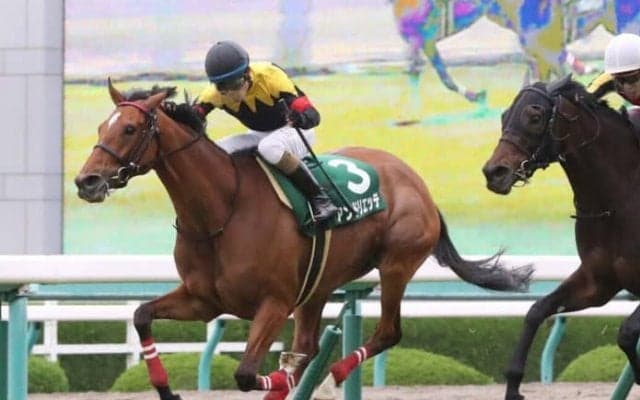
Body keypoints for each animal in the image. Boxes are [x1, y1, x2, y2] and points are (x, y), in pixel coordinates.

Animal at [74, 79, 532, 400]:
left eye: (130, 128)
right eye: (100, 126)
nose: (87, 181)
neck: (219, 212)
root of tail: (418, 183)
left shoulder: (275, 302)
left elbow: (245, 374)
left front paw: (280, 380)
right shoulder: (203, 300)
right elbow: (141, 316)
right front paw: (168, 389)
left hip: (396, 264)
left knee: (386, 333)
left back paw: (331, 380)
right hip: (318, 285)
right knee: (310, 345)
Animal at [482, 74, 640, 400]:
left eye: (534, 116)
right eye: (504, 115)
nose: (494, 172)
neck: (618, 201)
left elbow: (627, 333)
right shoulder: (598, 283)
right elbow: (536, 310)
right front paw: (513, 386)